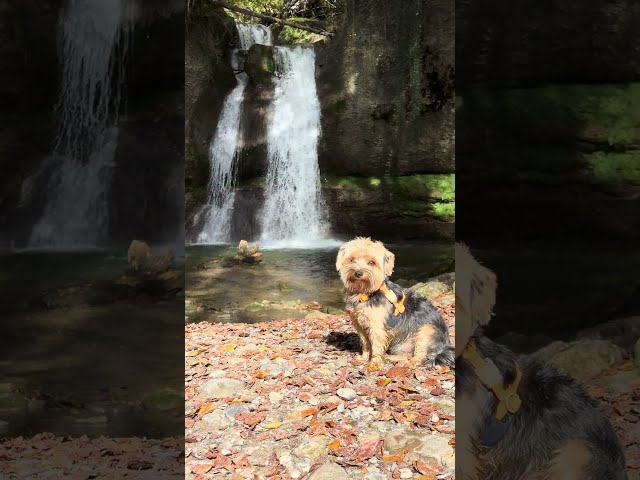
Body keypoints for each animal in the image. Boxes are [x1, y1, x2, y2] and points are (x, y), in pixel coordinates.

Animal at [336, 238, 456, 370]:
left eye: (372, 263)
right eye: (352, 260)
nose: (358, 273)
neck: (365, 293)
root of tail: (446, 347)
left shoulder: (377, 327)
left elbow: (376, 346)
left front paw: (374, 363)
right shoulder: (359, 324)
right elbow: (365, 343)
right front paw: (363, 358)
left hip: (427, 331)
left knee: (420, 356)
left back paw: (410, 363)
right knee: (407, 354)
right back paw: (392, 358)